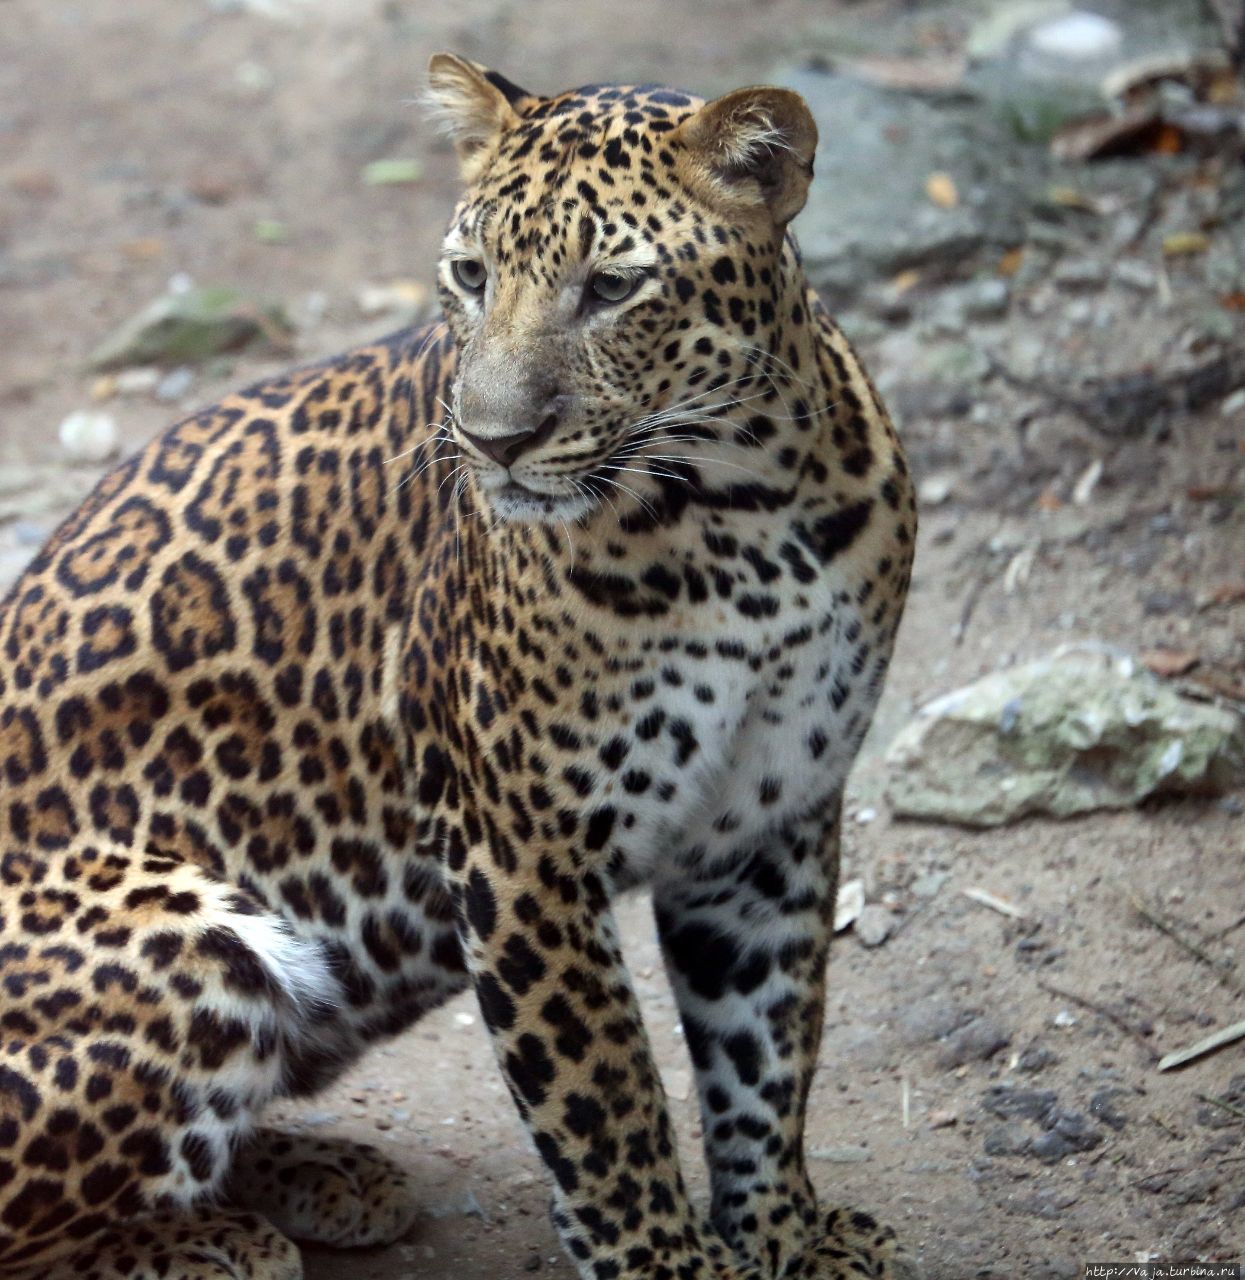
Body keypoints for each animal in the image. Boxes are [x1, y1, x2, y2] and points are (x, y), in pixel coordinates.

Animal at [0, 52, 911, 1280]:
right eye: (471, 275)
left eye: (612, 288)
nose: (492, 441)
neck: (742, 503)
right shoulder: (520, 846)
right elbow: (607, 1098)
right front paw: (669, 1262)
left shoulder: (770, 816)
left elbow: (765, 1047)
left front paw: (786, 1235)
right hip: (197, 946)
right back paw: (213, 1243)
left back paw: (326, 1178)